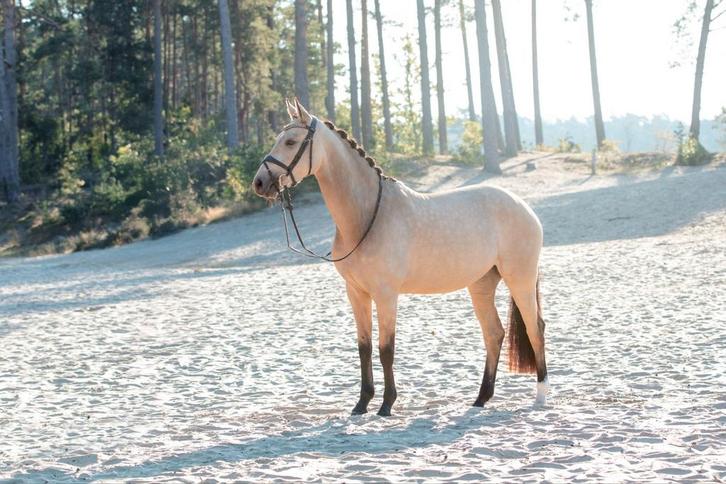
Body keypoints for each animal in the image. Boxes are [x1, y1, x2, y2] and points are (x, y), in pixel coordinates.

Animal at [252, 99, 548, 416]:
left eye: (291, 141)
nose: (259, 183)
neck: (368, 215)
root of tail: (524, 207)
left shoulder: (386, 294)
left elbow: (386, 349)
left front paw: (386, 404)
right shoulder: (356, 293)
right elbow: (364, 347)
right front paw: (362, 403)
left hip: (519, 279)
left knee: (535, 328)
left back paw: (540, 396)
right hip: (481, 284)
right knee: (494, 334)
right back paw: (481, 398)